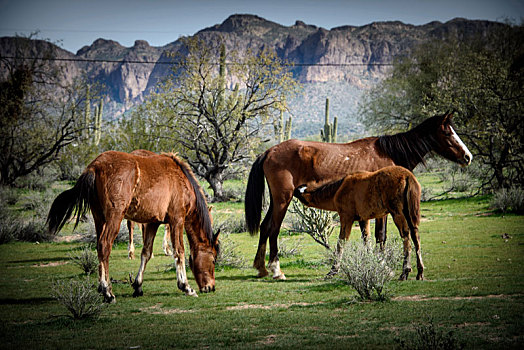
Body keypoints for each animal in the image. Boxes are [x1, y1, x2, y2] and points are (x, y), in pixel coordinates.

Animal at [46, 149, 220, 302]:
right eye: (213, 259)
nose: (211, 287)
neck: (181, 180)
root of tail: (94, 166)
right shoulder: (177, 220)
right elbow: (179, 251)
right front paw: (186, 287)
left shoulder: (153, 223)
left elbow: (146, 253)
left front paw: (138, 286)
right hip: (114, 217)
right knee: (104, 246)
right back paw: (108, 292)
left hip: (99, 218)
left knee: (99, 247)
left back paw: (102, 288)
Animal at [292, 167, 424, 282]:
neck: (338, 189)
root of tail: (408, 176)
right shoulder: (363, 219)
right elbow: (367, 241)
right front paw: (377, 265)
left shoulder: (346, 217)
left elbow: (341, 242)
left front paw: (333, 271)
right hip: (409, 214)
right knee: (415, 235)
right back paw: (419, 272)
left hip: (397, 213)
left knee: (406, 235)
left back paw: (405, 272)